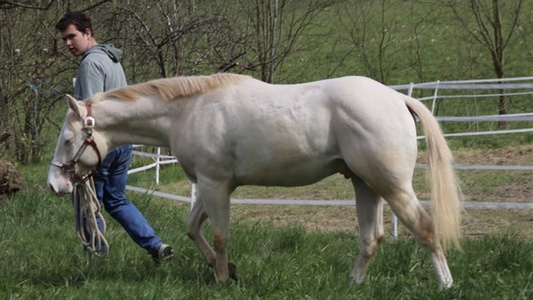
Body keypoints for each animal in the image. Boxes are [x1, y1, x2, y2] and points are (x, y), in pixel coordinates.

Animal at [46, 72, 462, 288]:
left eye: (67, 139)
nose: (55, 185)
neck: (188, 110)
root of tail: (397, 99)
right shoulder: (210, 185)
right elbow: (192, 228)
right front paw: (226, 269)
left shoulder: (215, 185)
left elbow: (218, 235)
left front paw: (220, 279)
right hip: (365, 184)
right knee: (371, 238)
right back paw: (353, 284)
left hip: (391, 186)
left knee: (425, 228)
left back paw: (445, 284)